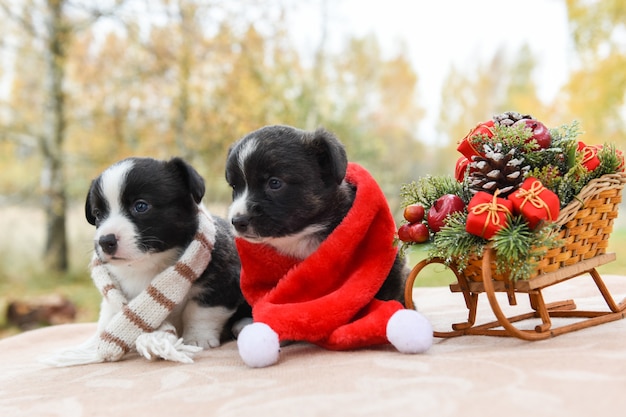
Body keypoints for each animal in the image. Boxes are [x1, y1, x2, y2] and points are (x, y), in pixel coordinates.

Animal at [42, 156, 247, 364]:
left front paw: (197, 338)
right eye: (98, 214)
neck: (148, 263)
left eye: (141, 206)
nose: (105, 241)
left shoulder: (222, 284)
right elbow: (108, 315)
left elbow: (199, 312)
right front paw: (92, 344)